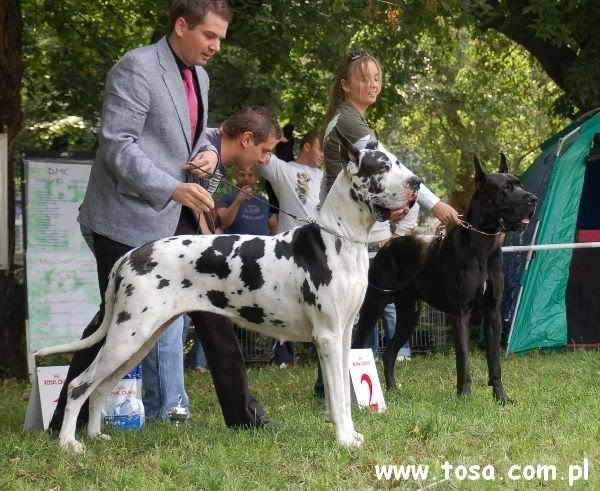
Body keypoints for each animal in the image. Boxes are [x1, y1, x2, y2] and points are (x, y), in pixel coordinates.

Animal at [35, 128, 422, 452]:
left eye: (398, 162)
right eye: (382, 165)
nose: (417, 182)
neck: (339, 238)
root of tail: (132, 254)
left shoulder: (343, 335)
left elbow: (340, 393)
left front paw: (349, 434)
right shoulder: (326, 335)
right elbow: (339, 396)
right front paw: (343, 440)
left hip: (138, 340)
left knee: (100, 387)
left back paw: (96, 435)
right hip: (127, 336)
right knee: (79, 385)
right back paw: (69, 444)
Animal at [353, 154, 537, 403]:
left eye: (520, 184)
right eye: (506, 188)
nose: (534, 200)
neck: (483, 244)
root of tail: (387, 245)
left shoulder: (493, 312)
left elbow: (495, 363)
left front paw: (501, 398)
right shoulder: (460, 313)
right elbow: (464, 360)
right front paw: (465, 397)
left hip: (410, 314)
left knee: (389, 354)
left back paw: (393, 390)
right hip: (373, 304)